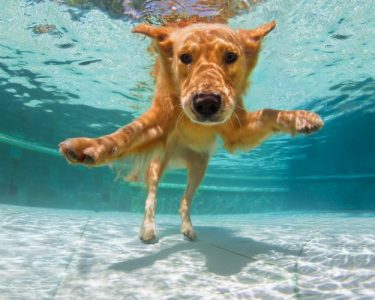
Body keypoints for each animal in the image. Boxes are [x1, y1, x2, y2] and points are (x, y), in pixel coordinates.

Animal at [58, 20, 324, 241]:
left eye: (230, 56)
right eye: (185, 57)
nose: (206, 103)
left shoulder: (237, 129)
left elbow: (268, 112)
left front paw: (301, 118)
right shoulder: (157, 122)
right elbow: (125, 134)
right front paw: (89, 147)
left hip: (199, 167)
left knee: (184, 201)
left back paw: (187, 228)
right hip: (158, 164)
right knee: (151, 197)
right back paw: (148, 230)